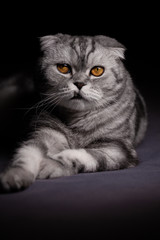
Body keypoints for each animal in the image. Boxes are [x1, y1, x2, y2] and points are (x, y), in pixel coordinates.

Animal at [0, 33, 148, 191]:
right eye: (63, 68)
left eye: (97, 70)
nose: (79, 83)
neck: (77, 120)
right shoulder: (43, 133)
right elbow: (26, 154)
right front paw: (15, 175)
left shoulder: (118, 149)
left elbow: (84, 154)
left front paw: (52, 162)